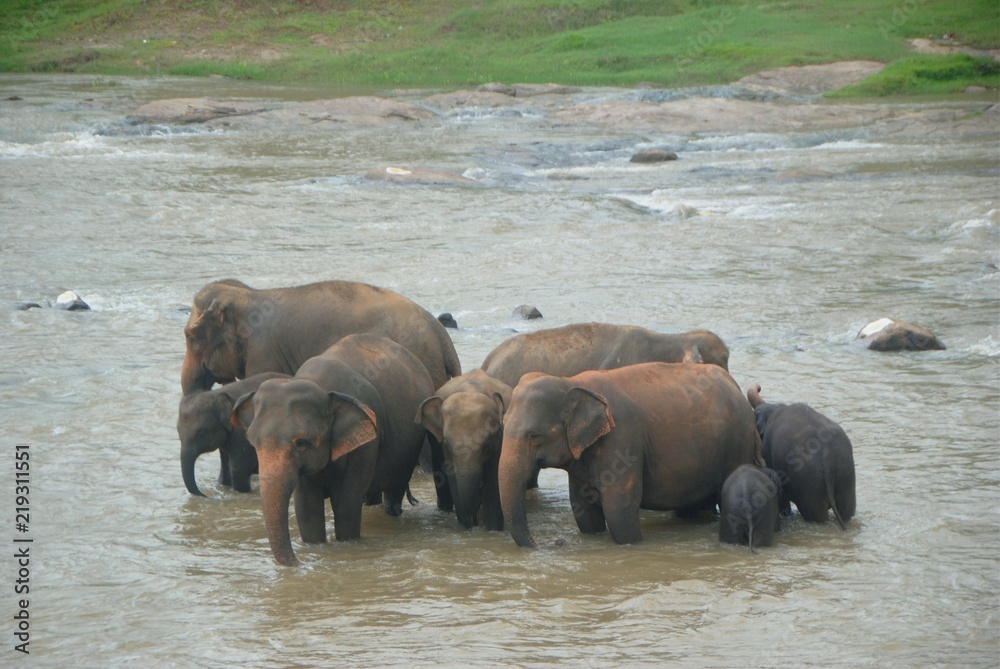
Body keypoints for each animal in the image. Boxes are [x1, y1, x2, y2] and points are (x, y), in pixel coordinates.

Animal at [231, 334, 433, 566]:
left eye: (301, 443)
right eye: (253, 442)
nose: (300, 563)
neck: (318, 384)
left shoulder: (366, 444)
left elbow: (346, 504)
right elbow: (307, 508)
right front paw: (315, 546)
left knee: (393, 493)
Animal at [415, 369, 513, 531]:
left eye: (487, 443)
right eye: (446, 442)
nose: (474, 522)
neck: (470, 391)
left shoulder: (499, 441)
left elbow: (493, 479)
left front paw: (492, 529)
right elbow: (454, 481)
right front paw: (466, 528)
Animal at [499, 362, 763, 547]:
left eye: (534, 436)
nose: (555, 542)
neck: (569, 381)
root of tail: (736, 387)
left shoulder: (622, 442)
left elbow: (619, 511)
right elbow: (584, 511)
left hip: (736, 445)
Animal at [747, 384, 856, 528]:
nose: (759, 387)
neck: (775, 408)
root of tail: (828, 456)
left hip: (809, 485)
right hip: (846, 479)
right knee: (847, 511)